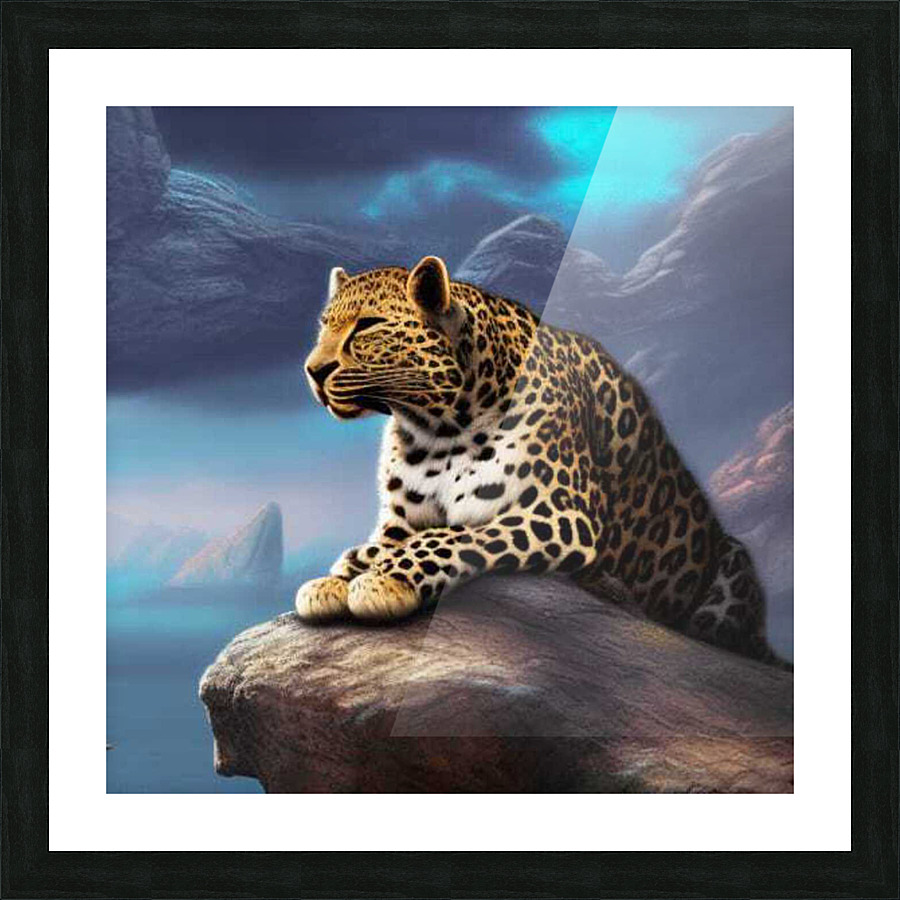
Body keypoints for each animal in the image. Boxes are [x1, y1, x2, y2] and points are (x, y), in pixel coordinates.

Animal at [296, 256, 790, 668]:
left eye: (367, 326)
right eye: (323, 325)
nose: (313, 370)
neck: (433, 427)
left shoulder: (560, 513)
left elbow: (452, 537)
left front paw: (384, 580)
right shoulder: (399, 520)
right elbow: (384, 543)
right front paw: (335, 579)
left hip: (733, 566)